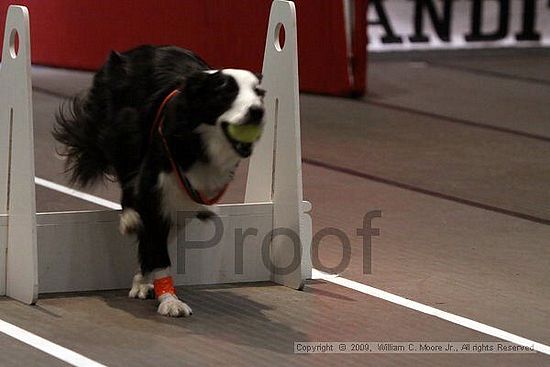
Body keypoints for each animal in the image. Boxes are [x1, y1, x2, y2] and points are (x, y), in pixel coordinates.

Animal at [54, 45, 268, 316]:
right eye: (226, 92)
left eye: (258, 93)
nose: (257, 111)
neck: (199, 142)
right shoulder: (157, 184)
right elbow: (156, 245)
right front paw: (170, 300)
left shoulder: (184, 198)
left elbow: (158, 238)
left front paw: (147, 282)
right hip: (124, 130)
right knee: (128, 176)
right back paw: (129, 218)